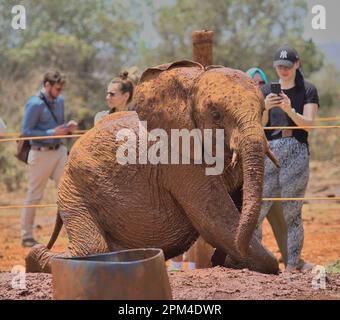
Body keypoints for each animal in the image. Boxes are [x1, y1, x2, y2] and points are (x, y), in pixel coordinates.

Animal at [26, 60, 280, 276]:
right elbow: (214, 217)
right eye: (216, 115)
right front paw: (262, 263)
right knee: (92, 249)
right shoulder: (178, 160)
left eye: (262, 112)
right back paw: (33, 258)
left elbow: (236, 203)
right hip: (74, 188)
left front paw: (229, 260)